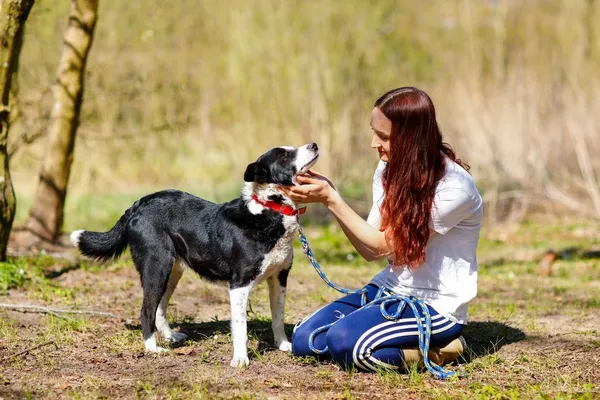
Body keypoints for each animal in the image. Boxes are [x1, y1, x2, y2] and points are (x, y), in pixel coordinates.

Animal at [70, 142, 318, 368]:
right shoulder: (239, 285)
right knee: (146, 310)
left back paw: (170, 336)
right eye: (284, 154)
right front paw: (240, 359)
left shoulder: (279, 278)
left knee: (159, 307)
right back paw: (152, 348)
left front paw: (284, 345)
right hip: (156, 265)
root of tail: (137, 205)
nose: (314, 145)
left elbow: (278, 316)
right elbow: (241, 327)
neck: (269, 209)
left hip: (172, 271)